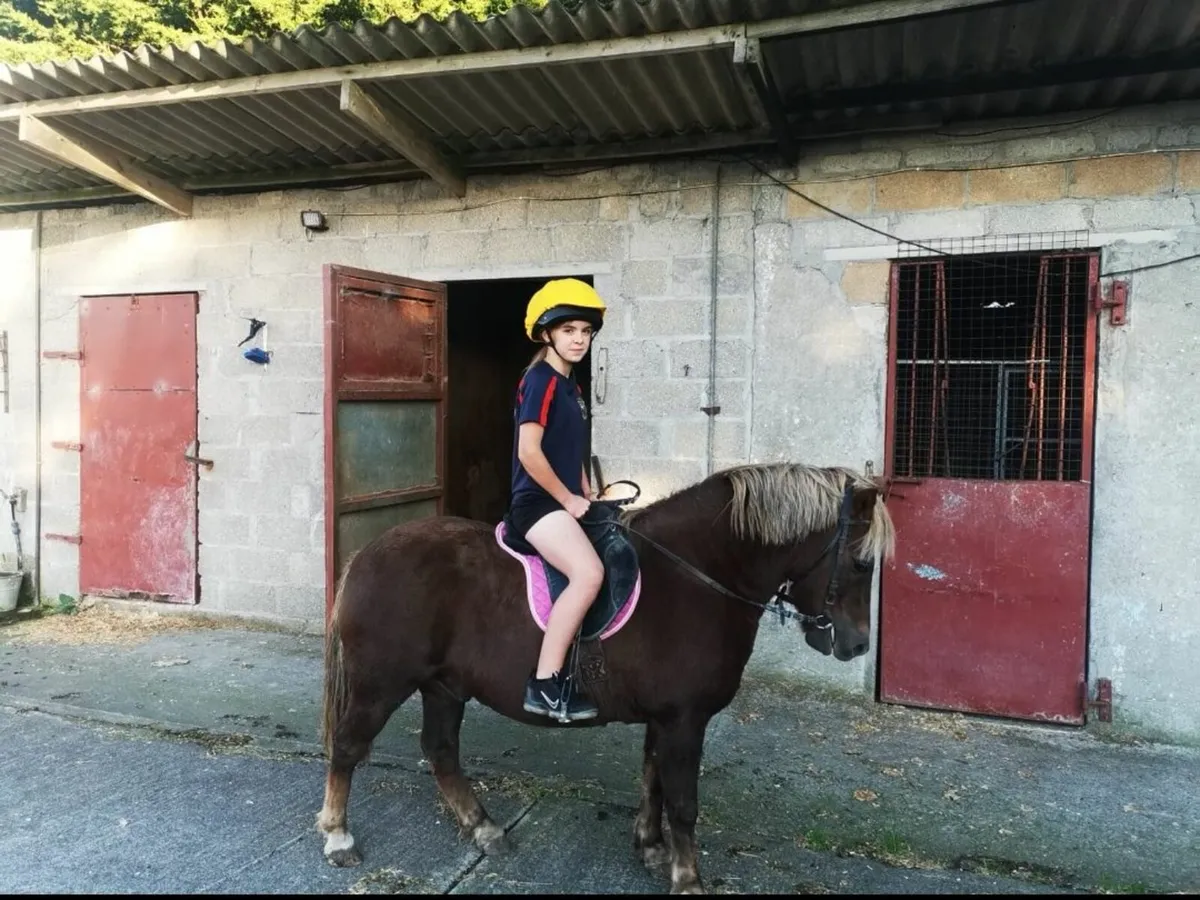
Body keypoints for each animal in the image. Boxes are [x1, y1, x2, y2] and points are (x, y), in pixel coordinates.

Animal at [316, 462, 896, 894]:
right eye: (862, 563)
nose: (856, 645)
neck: (695, 575)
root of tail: (367, 554)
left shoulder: (667, 718)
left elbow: (653, 780)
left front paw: (651, 849)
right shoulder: (685, 720)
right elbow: (683, 802)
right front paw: (688, 880)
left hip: (443, 686)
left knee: (439, 749)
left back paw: (483, 828)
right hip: (381, 683)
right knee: (348, 745)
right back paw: (339, 836)